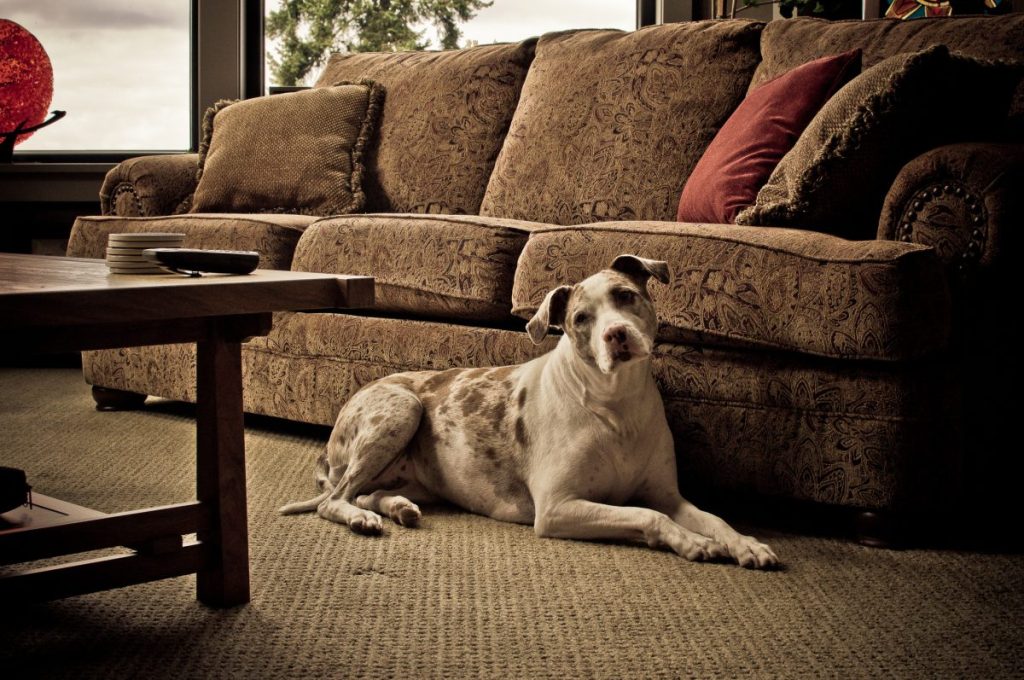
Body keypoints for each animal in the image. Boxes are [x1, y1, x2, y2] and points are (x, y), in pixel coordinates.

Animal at [280, 255, 774, 569]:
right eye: (580, 319)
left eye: (626, 295)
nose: (616, 334)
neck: (616, 404)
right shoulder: (558, 507)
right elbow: (648, 517)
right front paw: (692, 542)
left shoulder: (668, 494)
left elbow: (713, 518)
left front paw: (745, 544)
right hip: (403, 407)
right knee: (335, 500)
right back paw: (363, 519)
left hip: (413, 473)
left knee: (364, 493)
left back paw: (396, 508)